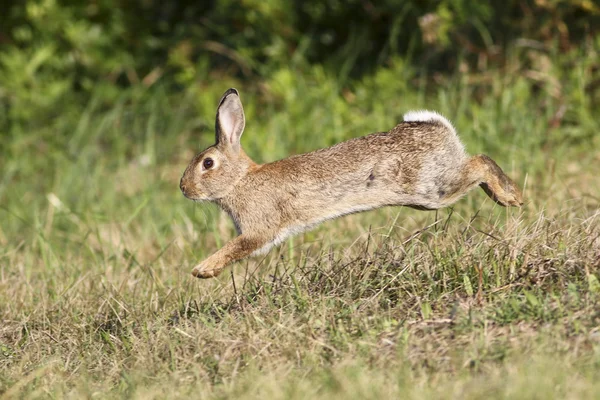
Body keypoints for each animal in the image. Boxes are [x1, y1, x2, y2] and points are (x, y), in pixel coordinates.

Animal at [180, 88, 524, 278]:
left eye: (207, 164)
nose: (183, 189)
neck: (240, 180)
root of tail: (439, 128)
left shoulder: (258, 228)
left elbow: (236, 247)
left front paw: (202, 270)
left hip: (431, 189)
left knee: (479, 163)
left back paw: (511, 197)